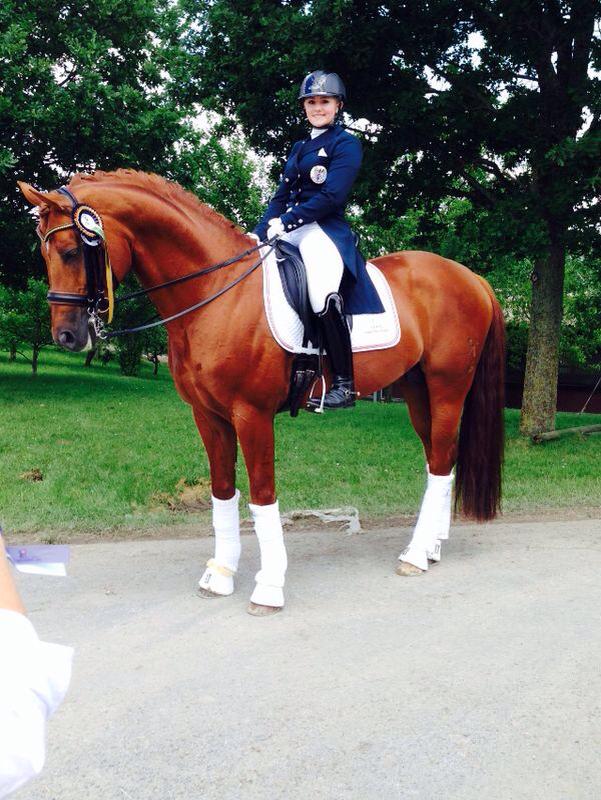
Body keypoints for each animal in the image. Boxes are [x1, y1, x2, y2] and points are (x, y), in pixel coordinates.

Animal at [18, 172, 504, 616]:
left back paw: (417, 555)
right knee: (439, 459)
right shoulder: (208, 415)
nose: (66, 337)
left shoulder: (251, 415)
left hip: (447, 388)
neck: (216, 293)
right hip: (418, 390)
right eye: (43, 253)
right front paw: (220, 574)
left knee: (440, 462)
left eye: (72, 251)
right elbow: (223, 492)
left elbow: (262, 496)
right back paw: (431, 546)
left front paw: (269, 587)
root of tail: (473, 278)